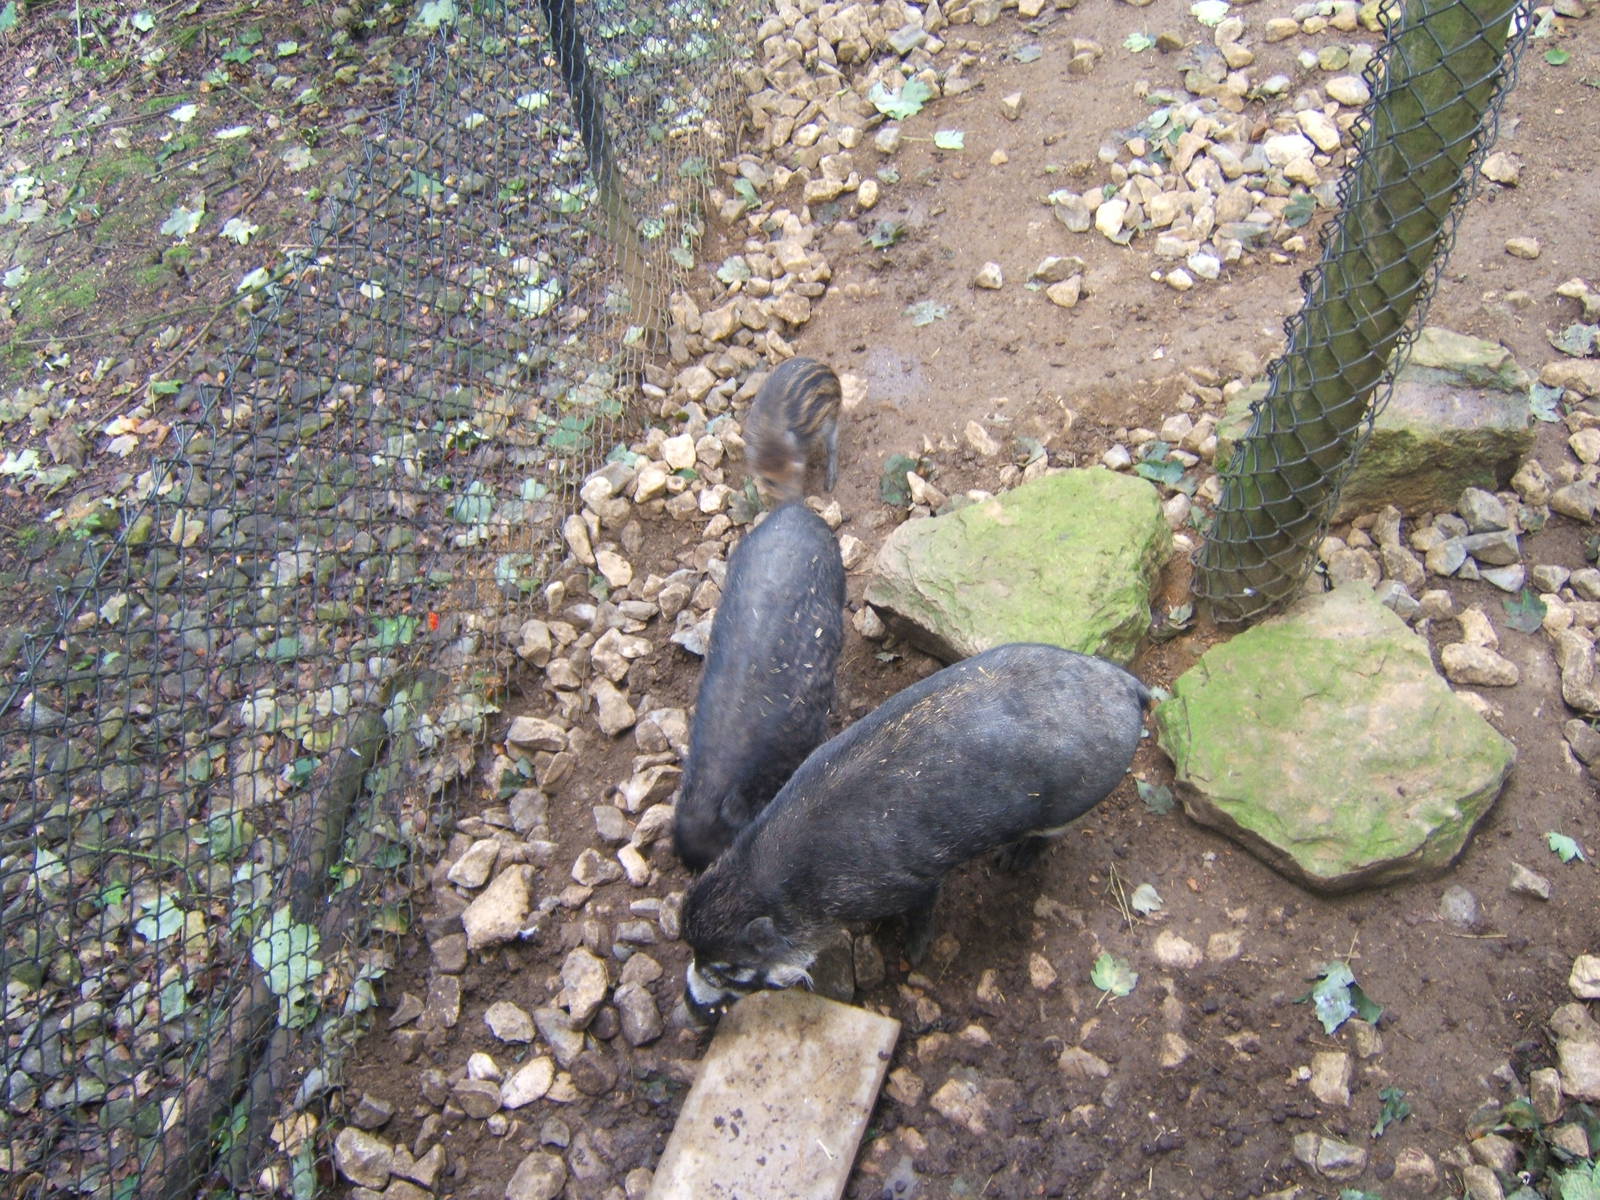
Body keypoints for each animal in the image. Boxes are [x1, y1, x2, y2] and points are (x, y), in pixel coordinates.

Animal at [682, 642, 1151, 1022]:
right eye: (695, 953)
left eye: (728, 970)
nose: (688, 1008)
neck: (791, 886)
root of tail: (1128, 686)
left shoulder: (914, 882)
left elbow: (922, 917)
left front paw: (912, 955)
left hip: (1072, 802)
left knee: (1050, 836)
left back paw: (1010, 862)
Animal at [742, 356, 842, 503]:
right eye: (770, 481)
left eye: (796, 472)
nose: (796, 501)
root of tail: (825, 367)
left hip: (831, 418)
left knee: (832, 448)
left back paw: (829, 484)